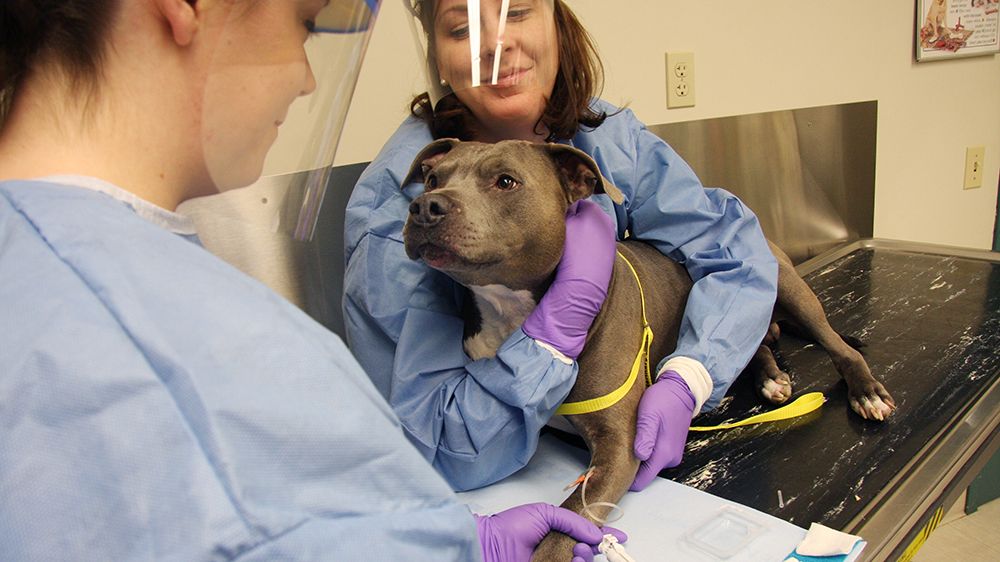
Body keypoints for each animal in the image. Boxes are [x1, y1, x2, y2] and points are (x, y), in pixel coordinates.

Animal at [402, 138, 896, 556]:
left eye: (506, 181)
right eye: (433, 177)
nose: (425, 206)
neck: (514, 311)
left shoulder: (619, 445)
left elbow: (569, 518)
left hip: (786, 286)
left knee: (831, 343)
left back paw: (865, 392)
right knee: (749, 340)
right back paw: (772, 377)